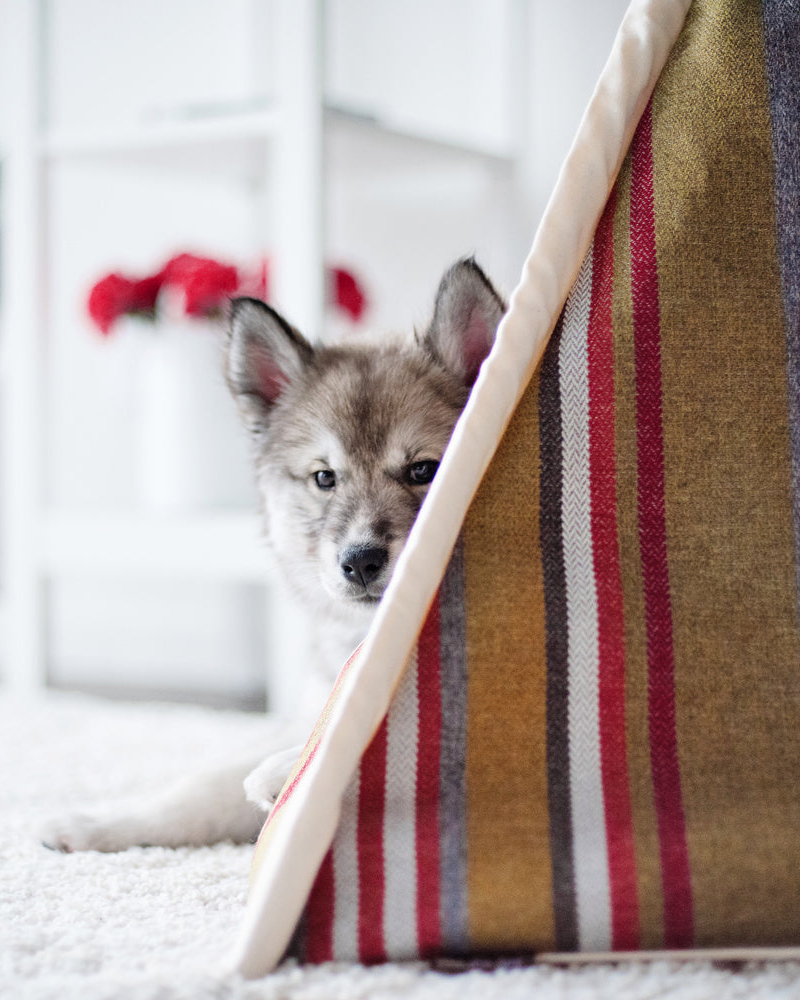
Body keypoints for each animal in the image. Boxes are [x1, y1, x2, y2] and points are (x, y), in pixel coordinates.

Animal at [40, 258, 504, 852]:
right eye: (324, 478)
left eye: (425, 470)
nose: (360, 561)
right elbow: (202, 788)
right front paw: (98, 822)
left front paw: (287, 771)